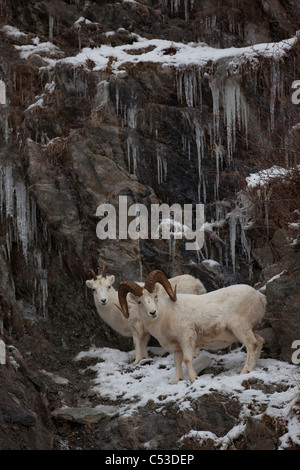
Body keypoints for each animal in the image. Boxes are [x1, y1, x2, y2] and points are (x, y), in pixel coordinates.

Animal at [118, 272, 266, 382]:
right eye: (139, 302)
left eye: (155, 296)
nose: (153, 312)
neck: (166, 315)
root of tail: (259, 296)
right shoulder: (177, 347)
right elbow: (177, 363)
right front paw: (177, 381)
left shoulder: (186, 339)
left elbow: (188, 359)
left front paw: (193, 378)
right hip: (250, 329)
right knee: (260, 341)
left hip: (241, 329)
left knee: (252, 345)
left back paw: (244, 371)